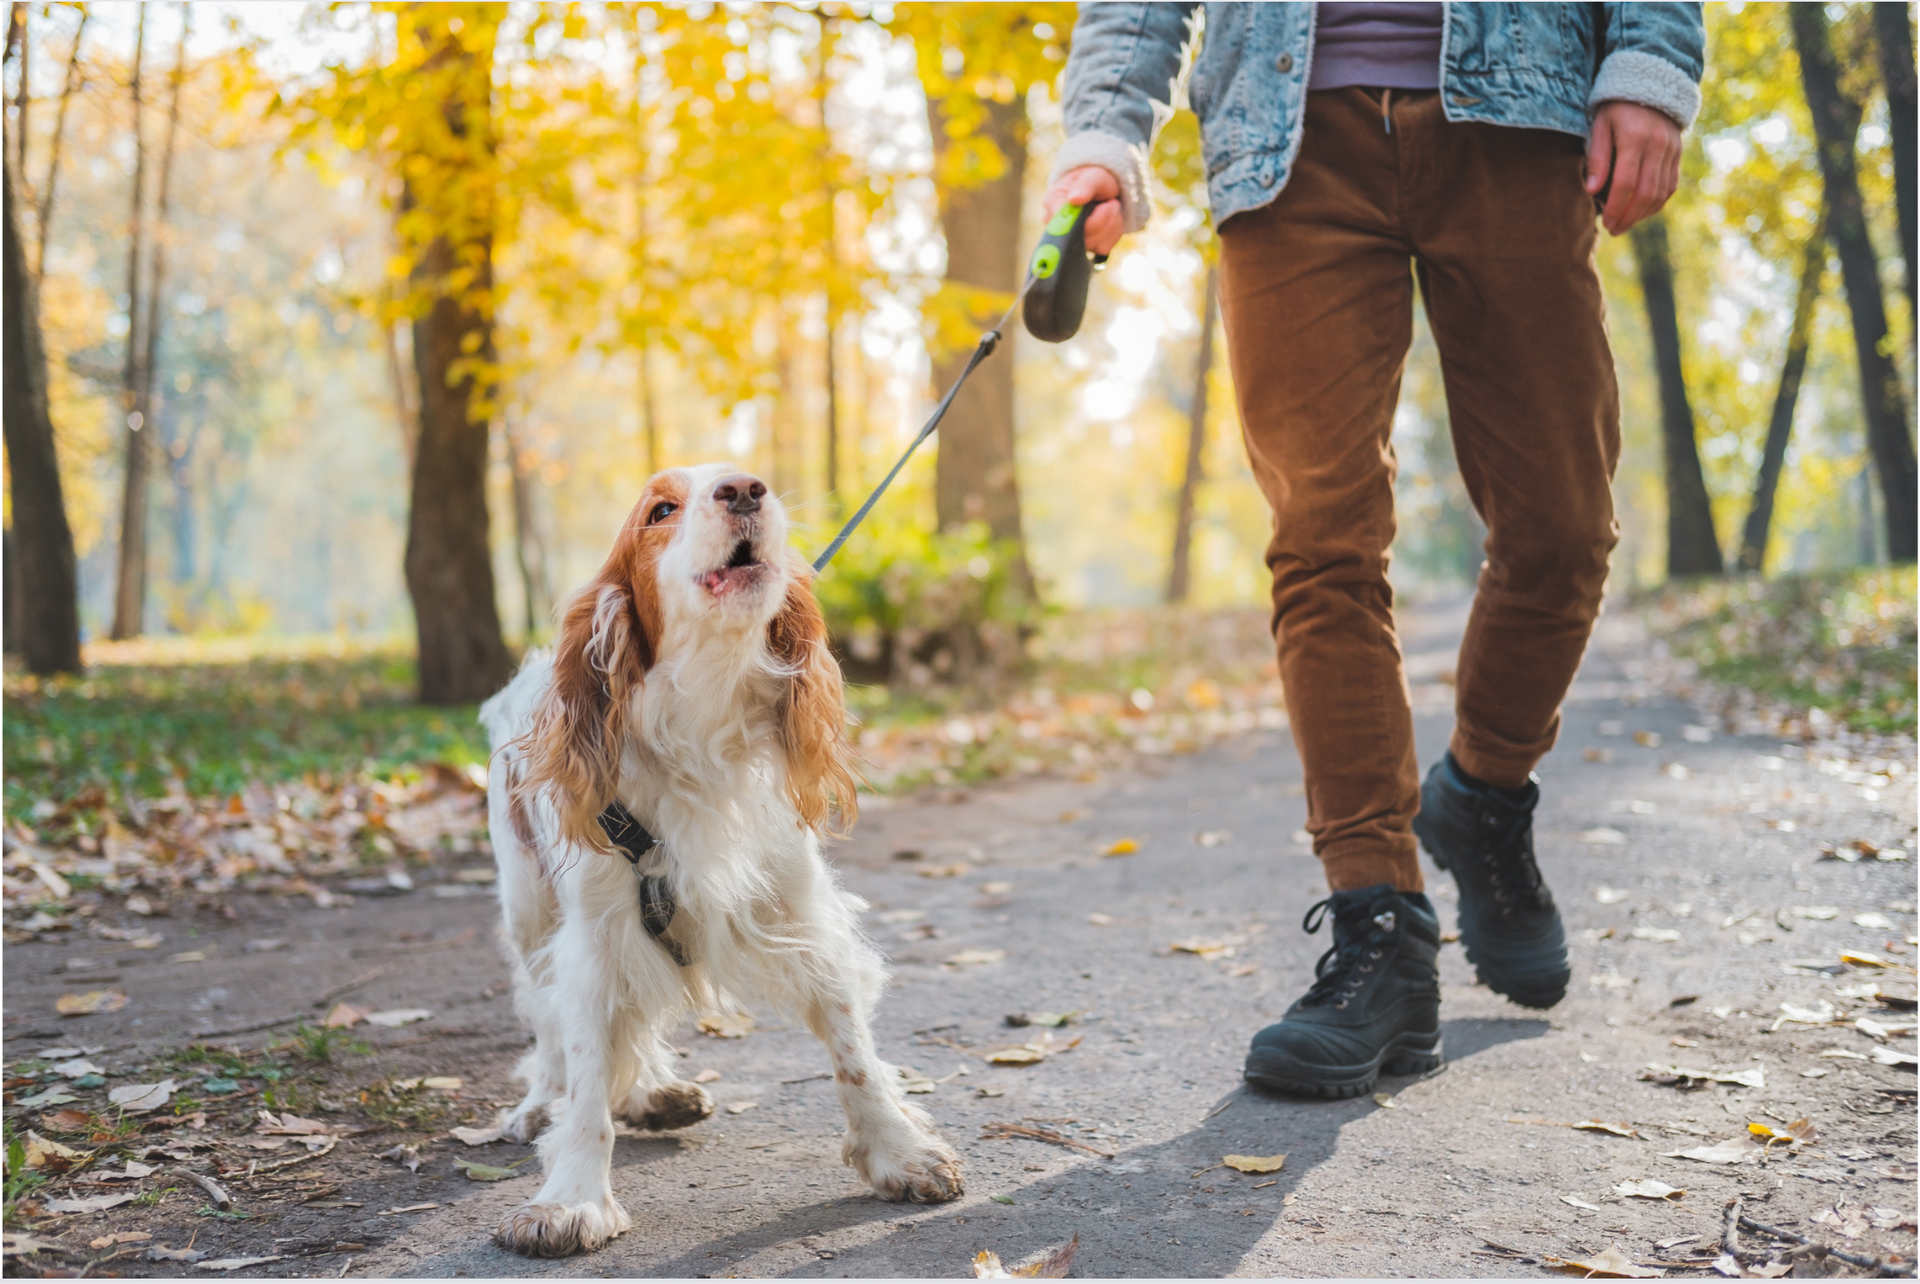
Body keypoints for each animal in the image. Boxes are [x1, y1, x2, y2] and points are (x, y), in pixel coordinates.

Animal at [480, 460, 960, 1251]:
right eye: (661, 510)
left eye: (747, 477)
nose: (744, 489)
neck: (702, 722)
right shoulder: (596, 937)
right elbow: (585, 1071)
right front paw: (572, 1198)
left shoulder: (800, 911)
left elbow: (853, 1052)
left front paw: (898, 1150)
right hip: (529, 911)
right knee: (547, 1023)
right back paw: (541, 1104)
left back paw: (655, 1094)